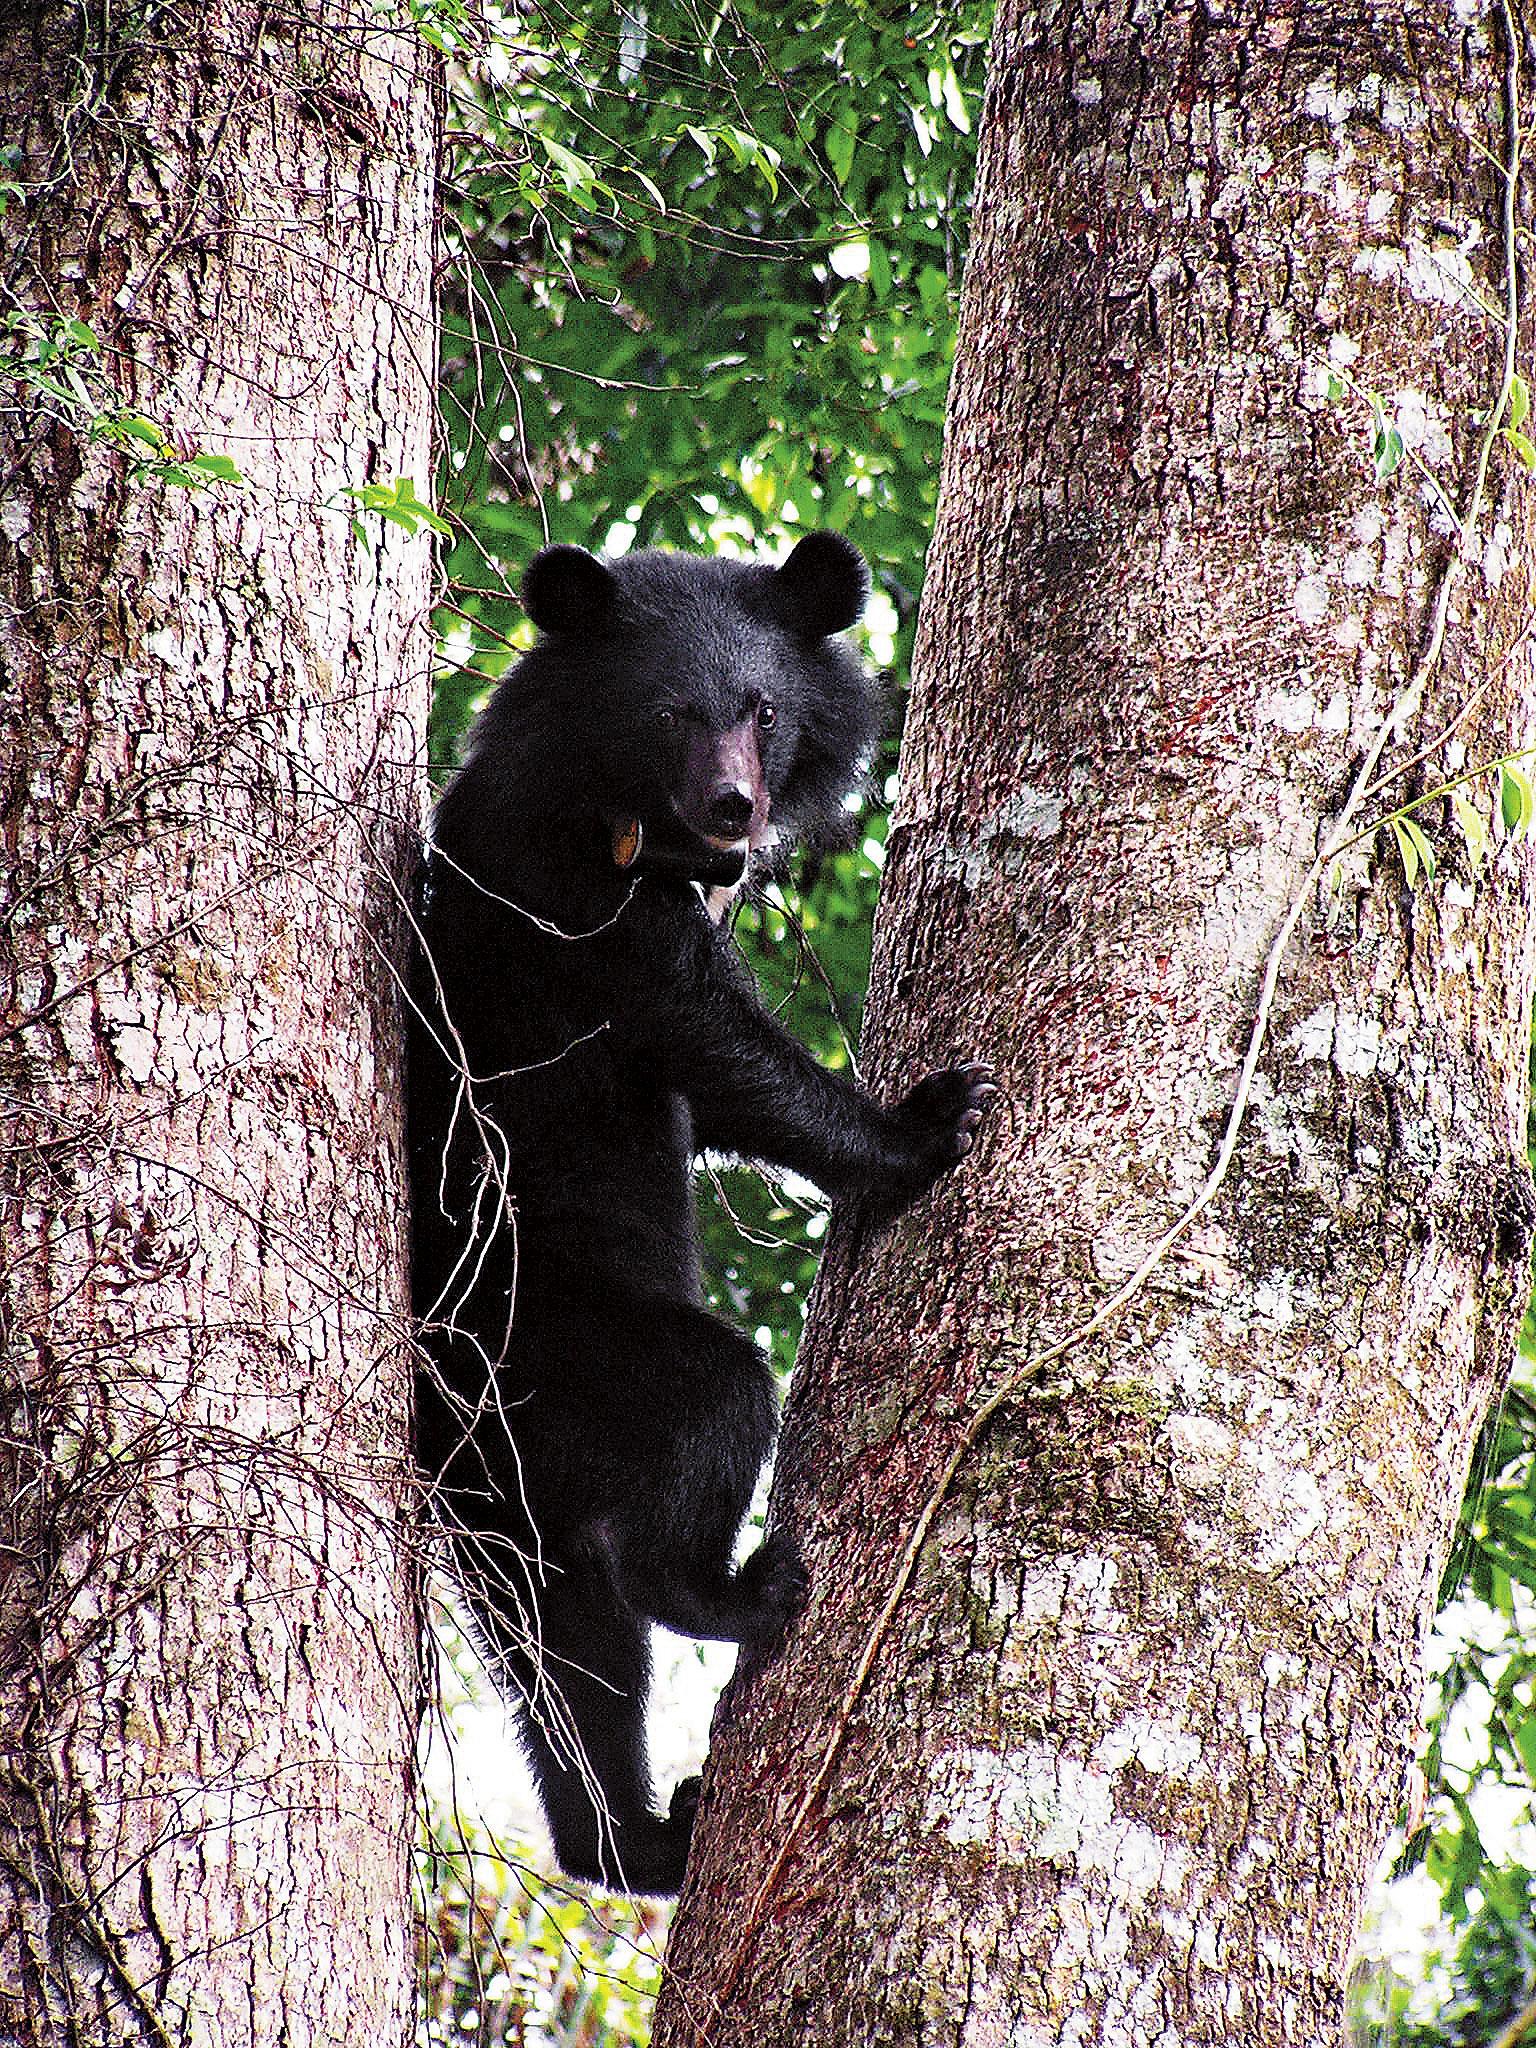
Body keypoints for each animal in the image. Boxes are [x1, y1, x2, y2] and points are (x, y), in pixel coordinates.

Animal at [408, 532, 994, 1896]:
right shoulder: (570, 905)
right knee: (702, 1422)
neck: (630, 827)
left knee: (565, 1648)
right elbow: (714, 1043)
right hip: (564, 1344)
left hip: (505, 1482)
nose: (735, 810)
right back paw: (736, 1591)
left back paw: (632, 1836)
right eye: (671, 711)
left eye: (764, 710)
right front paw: (928, 1121)